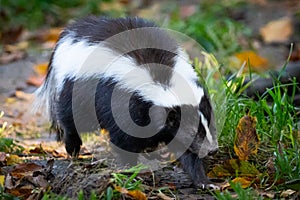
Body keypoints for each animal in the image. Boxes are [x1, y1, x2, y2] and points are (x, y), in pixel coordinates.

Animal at [35, 16, 218, 188]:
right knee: (71, 119)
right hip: (78, 94)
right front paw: (129, 171)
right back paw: (72, 149)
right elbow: (124, 140)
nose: (212, 150)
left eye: (211, 126)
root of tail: (75, 32)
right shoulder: (124, 102)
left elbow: (186, 151)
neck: (163, 83)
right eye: (192, 131)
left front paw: (203, 181)